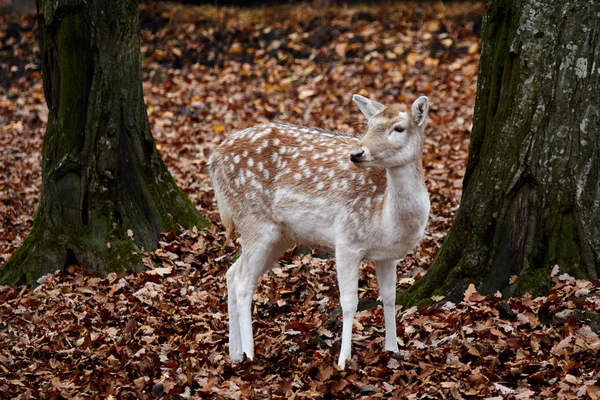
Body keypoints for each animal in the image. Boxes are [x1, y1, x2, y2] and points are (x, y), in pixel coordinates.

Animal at [209, 94, 428, 368]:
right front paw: (343, 361)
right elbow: (349, 302)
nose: (357, 153)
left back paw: (235, 354)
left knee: (231, 273)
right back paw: (249, 354)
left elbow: (389, 297)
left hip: (279, 237)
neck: (387, 218)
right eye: (368, 126)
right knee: (242, 282)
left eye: (398, 128)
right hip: (254, 221)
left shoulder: (387, 255)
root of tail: (214, 159)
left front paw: (393, 349)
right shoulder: (346, 240)